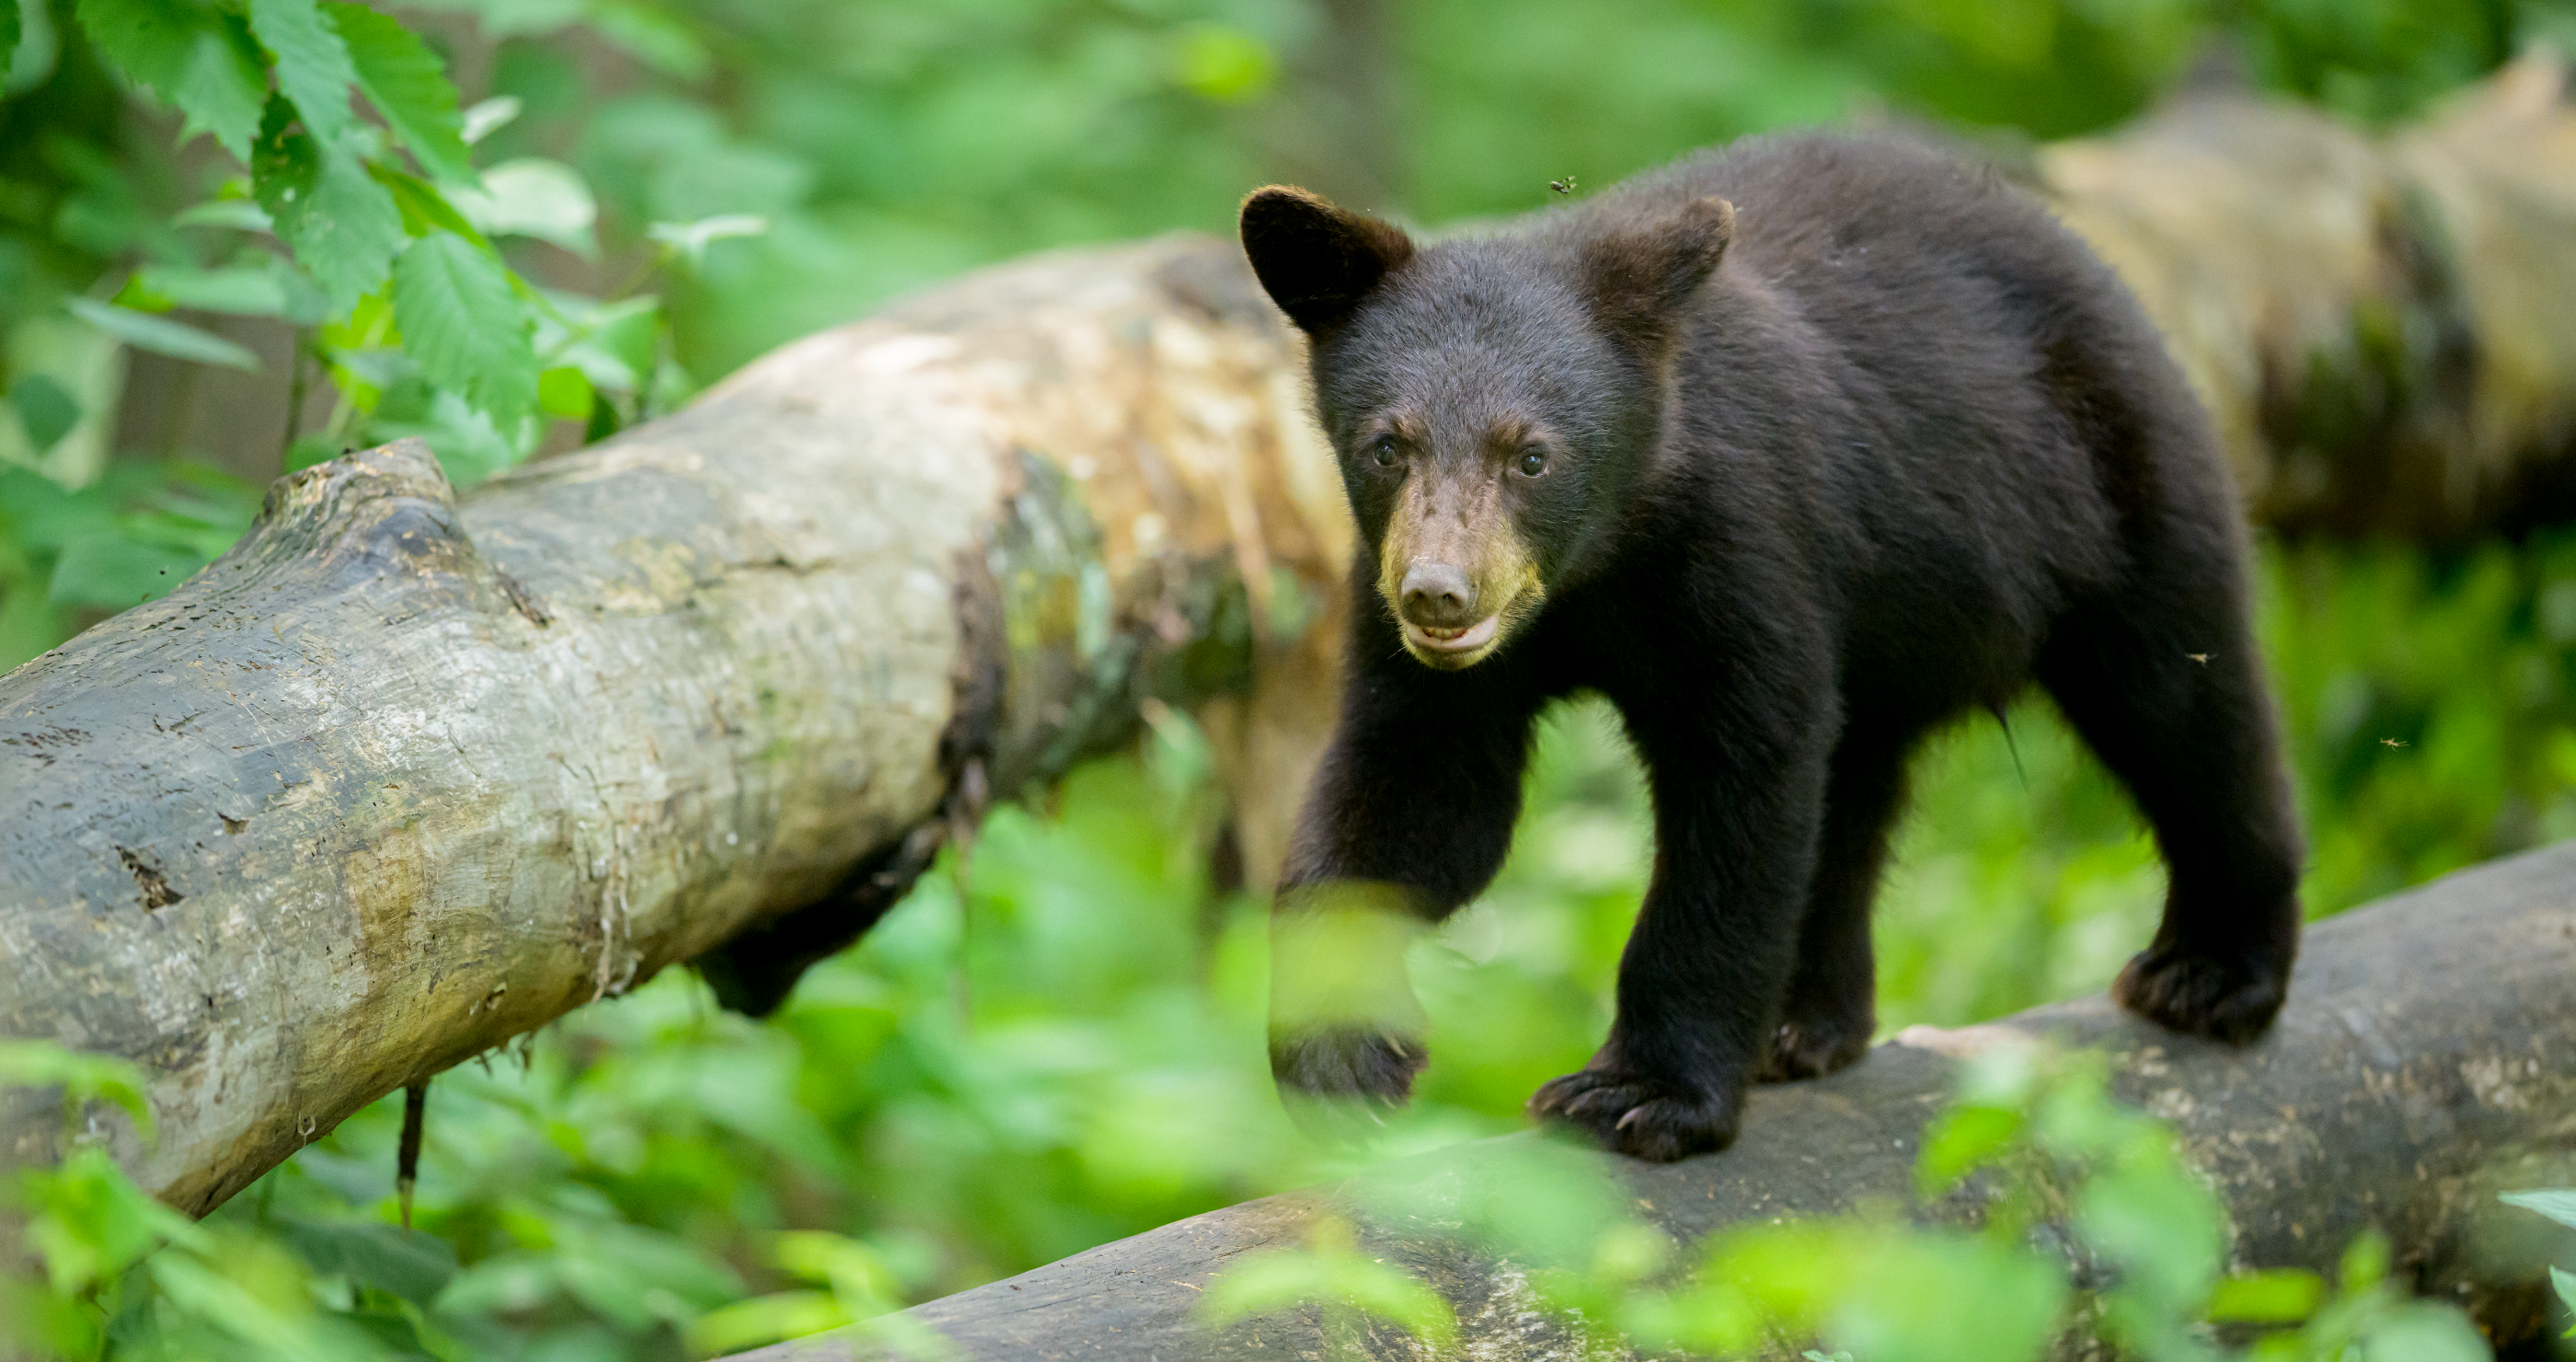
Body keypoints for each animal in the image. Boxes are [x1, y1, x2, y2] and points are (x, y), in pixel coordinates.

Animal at [1238, 131, 2305, 1162]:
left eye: (1531, 454)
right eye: (1388, 445)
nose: (1438, 594)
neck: (1598, 568)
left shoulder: (1743, 548)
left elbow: (1741, 795)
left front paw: (1642, 1093)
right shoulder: (1429, 644)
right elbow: (1423, 795)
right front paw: (1343, 1053)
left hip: (2121, 495)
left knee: (2186, 709)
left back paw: (2214, 970)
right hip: (1889, 634)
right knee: (1852, 794)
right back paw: (1806, 1023)